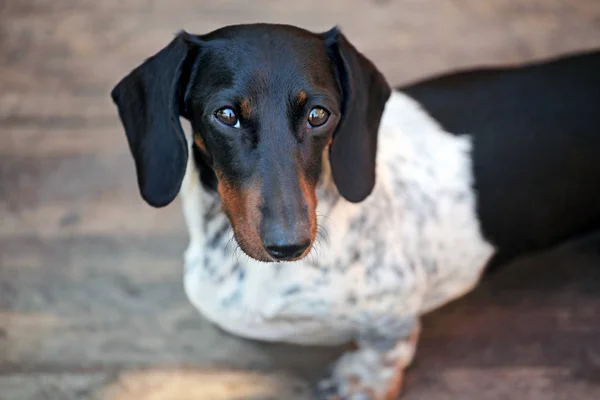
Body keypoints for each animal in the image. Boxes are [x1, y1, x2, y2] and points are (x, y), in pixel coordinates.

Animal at [111, 23, 600, 398]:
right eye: (226, 115)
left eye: (319, 114)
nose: (289, 245)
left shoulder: (393, 308)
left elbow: (383, 350)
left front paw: (358, 382)